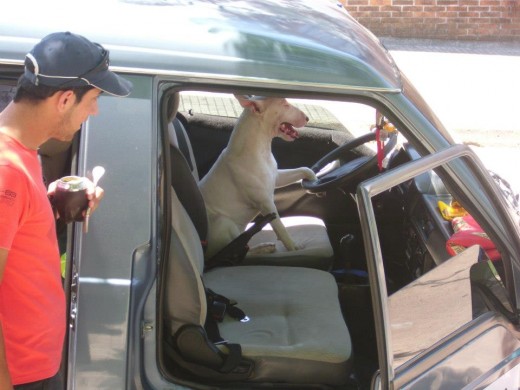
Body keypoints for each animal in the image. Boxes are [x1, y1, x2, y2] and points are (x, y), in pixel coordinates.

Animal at [200, 95, 316, 258]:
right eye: (285, 104)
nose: (307, 118)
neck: (260, 149)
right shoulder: (266, 203)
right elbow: (280, 227)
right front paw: (294, 248)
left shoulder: (276, 176)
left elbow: (304, 169)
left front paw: (315, 180)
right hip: (223, 223)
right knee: (238, 252)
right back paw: (263, 248)